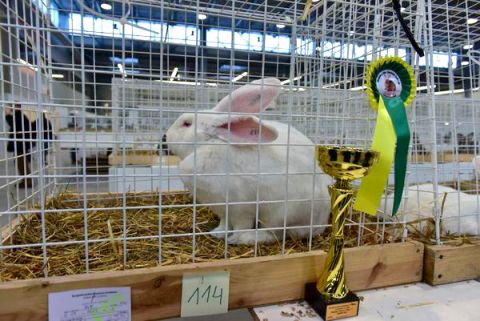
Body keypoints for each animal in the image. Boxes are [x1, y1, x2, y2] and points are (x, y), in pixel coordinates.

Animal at [165, 79, 330, 244]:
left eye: (187, 123)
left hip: (280, 213)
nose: (164, 138)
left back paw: (248, 238)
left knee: (274, 233)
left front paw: (233, 239)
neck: (207, 145)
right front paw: (218, 233)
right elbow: (225, 223)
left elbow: (241, 226)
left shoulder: (240, 209)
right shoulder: (223, 209)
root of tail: (320, 224)